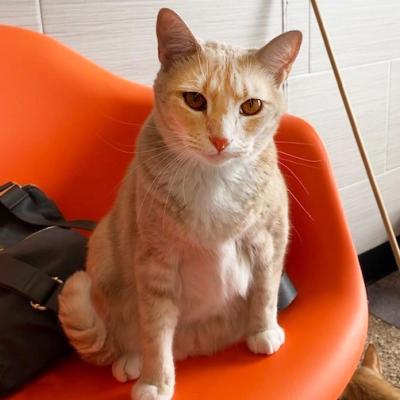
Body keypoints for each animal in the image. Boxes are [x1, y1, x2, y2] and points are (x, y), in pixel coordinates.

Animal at [57, 7, 302, 400]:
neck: (215, 182)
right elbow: (155, 332)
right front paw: (156, 381)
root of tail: (197, 344)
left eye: (251, 106)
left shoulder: (270, 240)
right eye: (195, 100)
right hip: (103, 252)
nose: (221, 140)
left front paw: (263, 330)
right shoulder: (156, 265)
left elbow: (265, 292)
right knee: (130, 333)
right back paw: (131, 359)